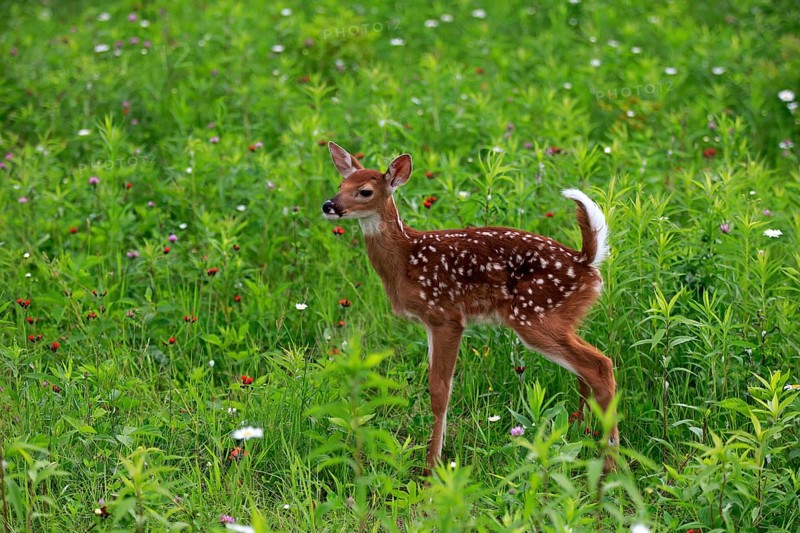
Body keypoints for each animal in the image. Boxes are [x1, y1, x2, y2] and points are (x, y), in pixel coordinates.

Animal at [322, 142, 618, 473]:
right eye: (340, 185)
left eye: (365, 191)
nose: (329, 205)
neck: (405, 259)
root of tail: (586, 261)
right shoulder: (431, 322)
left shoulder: (445, 316)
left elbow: (439, 391)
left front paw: (431, 469)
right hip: (561, 317)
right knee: (585, 370)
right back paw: (580, 434)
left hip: (534, 314)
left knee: (599, 365)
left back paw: (610, 464)